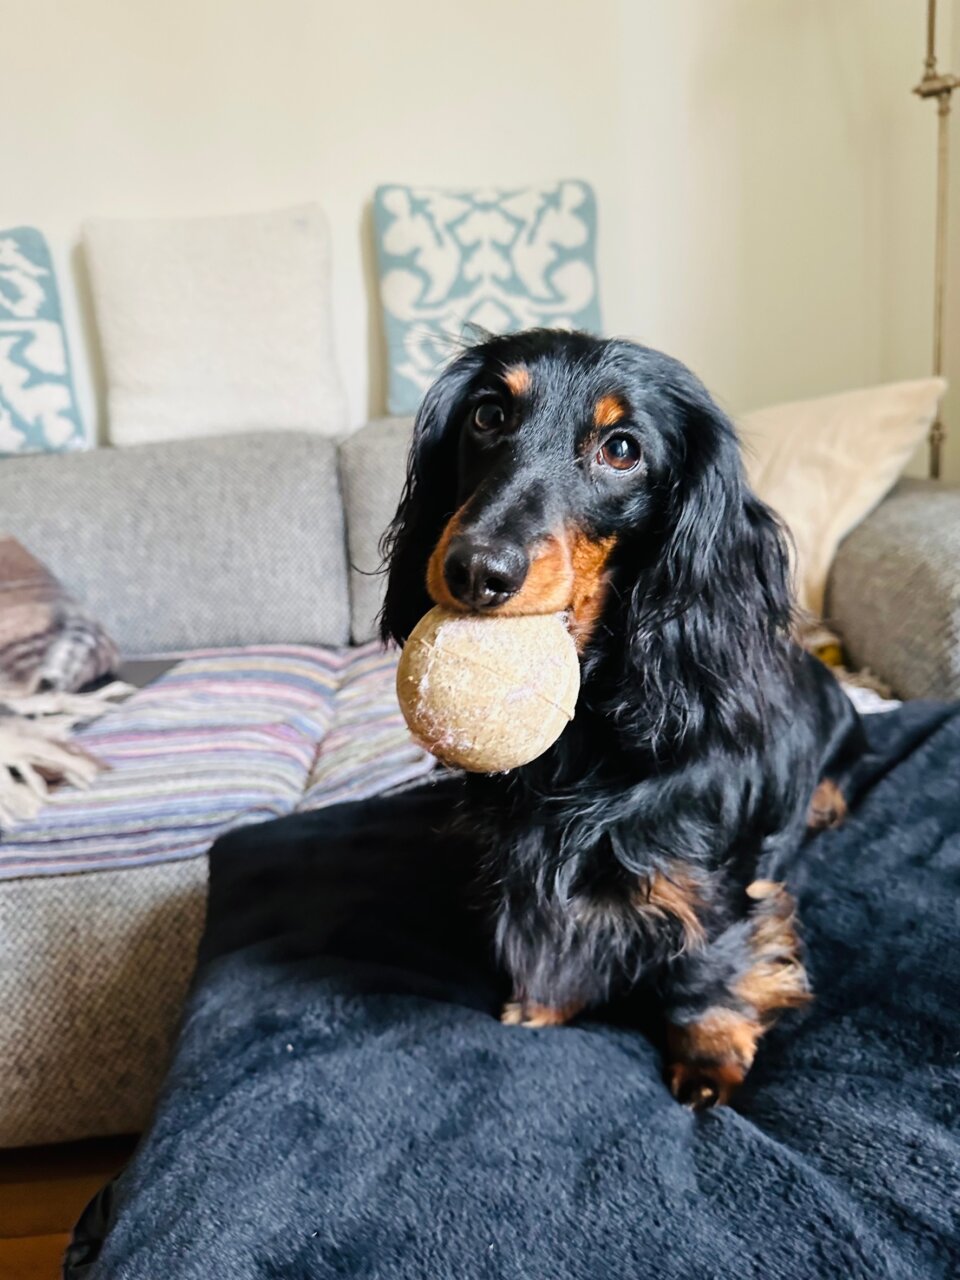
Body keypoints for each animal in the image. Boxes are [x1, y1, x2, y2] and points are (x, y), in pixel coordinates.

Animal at [378, 330, 870, 1111]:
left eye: (621, 449)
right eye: (487, 416)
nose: (475, 570)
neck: (589, 733)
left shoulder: (714, 872)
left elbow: (708, 956)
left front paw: (708, 1055)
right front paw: (544, 1004)